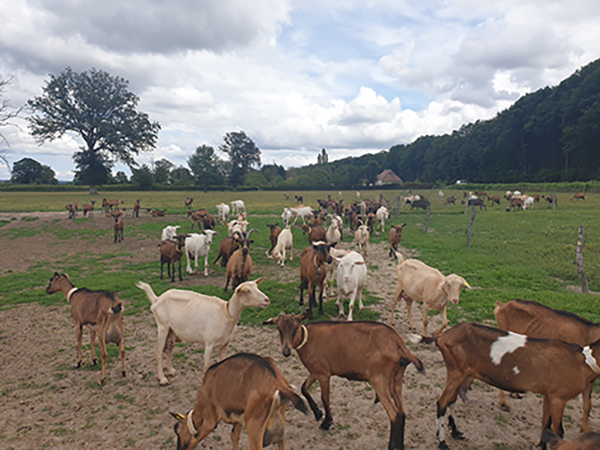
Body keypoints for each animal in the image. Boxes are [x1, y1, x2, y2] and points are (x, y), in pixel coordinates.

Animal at [136, 278, 270, 384]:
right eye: (247, 291)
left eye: (257, 287)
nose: (267, 300)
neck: (226, 314)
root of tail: (156, 299)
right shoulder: (209, 343)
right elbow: (206, 366)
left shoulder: (225, 344)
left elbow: (222, 363)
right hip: (162, 326)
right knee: (159, 352)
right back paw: (163, 379)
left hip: (171, 330)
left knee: (168, 349)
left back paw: (172, 371)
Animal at [170, 354, 308, 450]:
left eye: (177, 429)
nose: (179, 448)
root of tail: (277, 383)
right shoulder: (237, 419)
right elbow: (234, 436)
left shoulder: (209, 420)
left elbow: (195, 438)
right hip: (279, 426)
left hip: (254, 428)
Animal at [264, 312, 424, 450]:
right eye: (279, 329)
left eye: (295, 328)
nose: (286, 352)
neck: (308, 338)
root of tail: (399, 343)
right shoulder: (316, 371)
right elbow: (304, 388)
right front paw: (317, 413)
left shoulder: (323, 374)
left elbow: (325, 397)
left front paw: (326, 422)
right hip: (396, 380)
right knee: (401, 413)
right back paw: (400, 445)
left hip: (379, 380)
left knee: (394, 414)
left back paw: (392, 446)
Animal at [412, 324, 600, 450]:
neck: (582, 361)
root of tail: (443, 336)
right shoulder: (559, 398)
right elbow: (558, 431)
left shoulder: (549, 395)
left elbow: (546, 423)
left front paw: (540, 445)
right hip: (456, 372)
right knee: (442, 403)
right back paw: (443, 442)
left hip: (461, 375)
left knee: (451, 401)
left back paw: (455, 433)